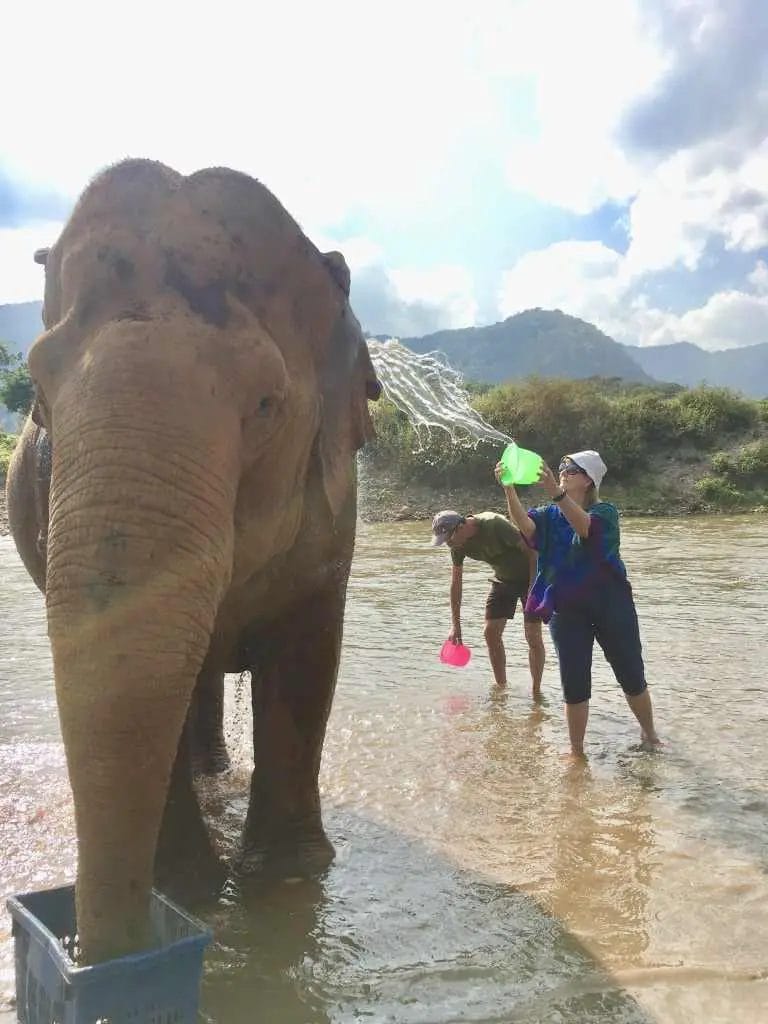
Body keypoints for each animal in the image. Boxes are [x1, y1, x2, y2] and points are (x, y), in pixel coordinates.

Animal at [5, 158, 382, 965]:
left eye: (267, 403)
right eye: (40, 393)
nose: (88, 957)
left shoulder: (333, 519)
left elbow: (305, 657)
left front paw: (290, 876)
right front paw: (186, 885)